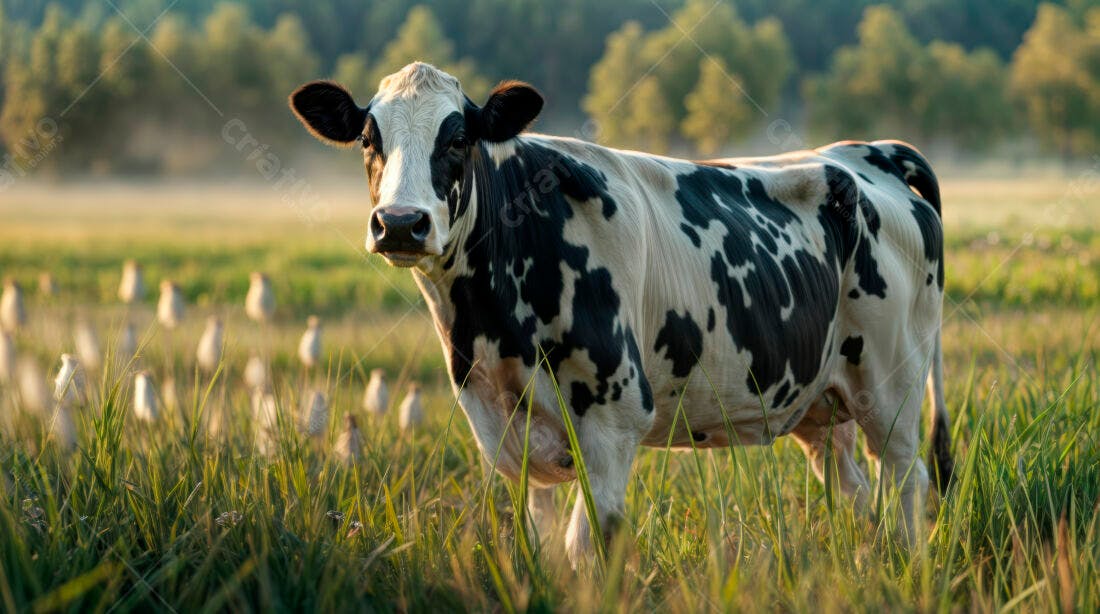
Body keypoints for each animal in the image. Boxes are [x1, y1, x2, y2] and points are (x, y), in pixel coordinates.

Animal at [289, 62, 954, 566]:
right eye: (369, 140)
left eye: (458, 139)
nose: (401, 223)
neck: (490, 328)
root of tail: (863, 153)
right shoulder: (508, 428)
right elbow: (544, 543)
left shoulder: (613, 420)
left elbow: (588, 546)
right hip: (819, 399)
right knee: (854, 488)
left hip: (891, 387)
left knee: (907, 479)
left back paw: (908, 566)